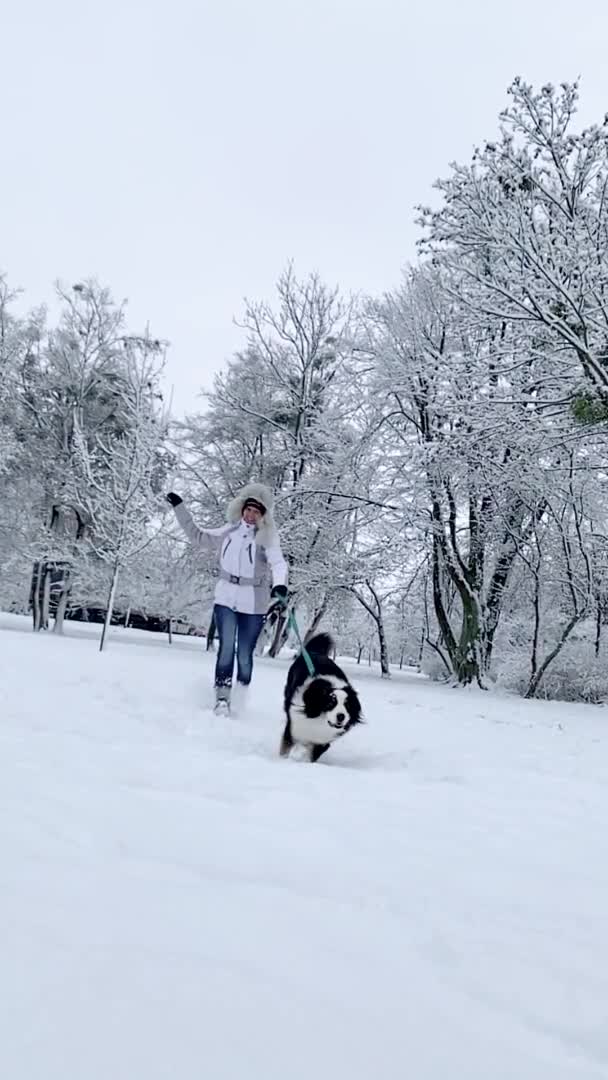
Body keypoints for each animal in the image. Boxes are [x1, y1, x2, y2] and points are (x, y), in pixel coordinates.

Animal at [278, 630, 360, 764]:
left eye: (347, 706)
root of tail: (314, 652)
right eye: (330, 703)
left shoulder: (322, 742)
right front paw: (280, 761)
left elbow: (311, 756)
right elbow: (284, 750)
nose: (341, 716)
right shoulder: (292, 730)